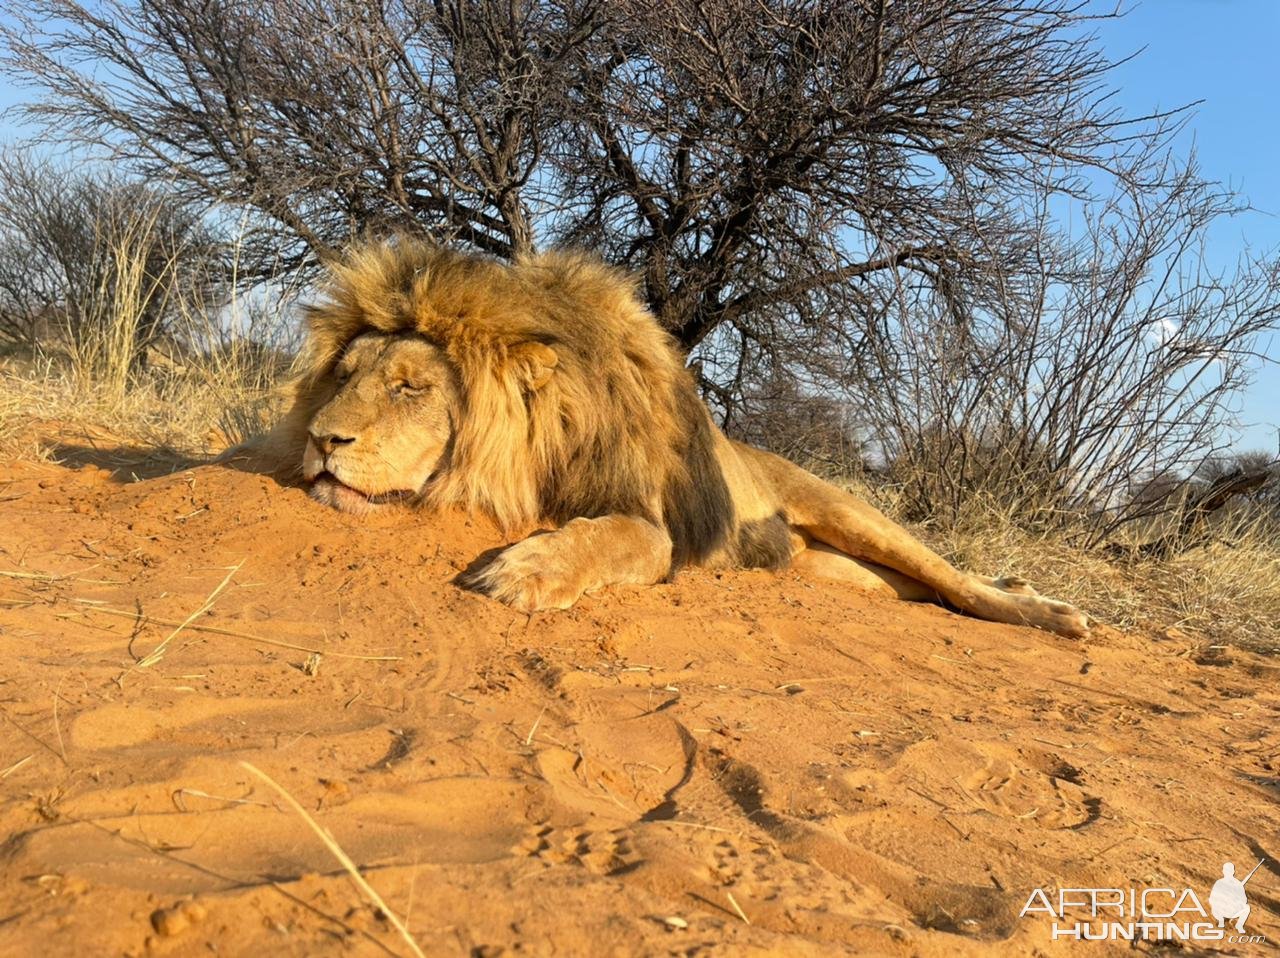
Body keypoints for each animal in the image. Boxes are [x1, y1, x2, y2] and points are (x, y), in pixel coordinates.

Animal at [249, 238, 1090, 635]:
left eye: (411, 388)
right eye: (343, 375)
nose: (323, 440)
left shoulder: (650, 525)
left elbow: (605, 536)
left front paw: (524, 570)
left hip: (854, 515)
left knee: (956, 582)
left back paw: (1055, 614)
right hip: (838, 572)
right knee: (932, 591)